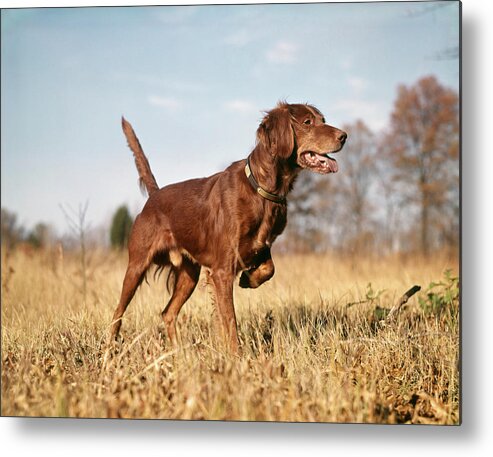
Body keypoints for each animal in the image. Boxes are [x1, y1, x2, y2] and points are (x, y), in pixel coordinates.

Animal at [110, 102, 346, 352]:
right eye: (307, 122)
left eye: (322, 120)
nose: (344, 136)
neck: (261, 189)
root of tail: (153, 197)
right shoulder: (222, 271)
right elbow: (230, 320)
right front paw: (236, 355)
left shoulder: (261, 246)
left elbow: (269, 269)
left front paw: (248, 279)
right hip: (137, 266)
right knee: (118, 313)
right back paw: (109, 349)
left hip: (189, 275)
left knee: (168, 313)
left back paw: (179, 353)